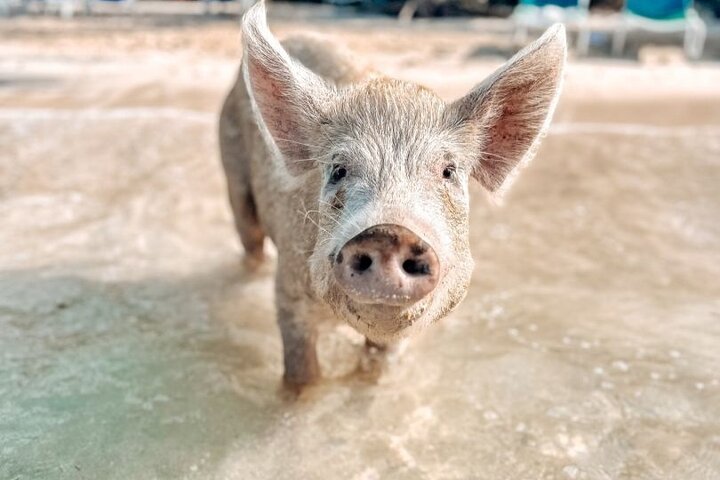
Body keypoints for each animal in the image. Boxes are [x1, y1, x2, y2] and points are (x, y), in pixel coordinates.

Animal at [219, 0, 566, 389]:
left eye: (448, 171)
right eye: (338, 170)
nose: (389, 233)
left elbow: (376, 372)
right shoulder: (290, 293)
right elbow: (302, 374)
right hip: (233, 175)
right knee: (250, 243)